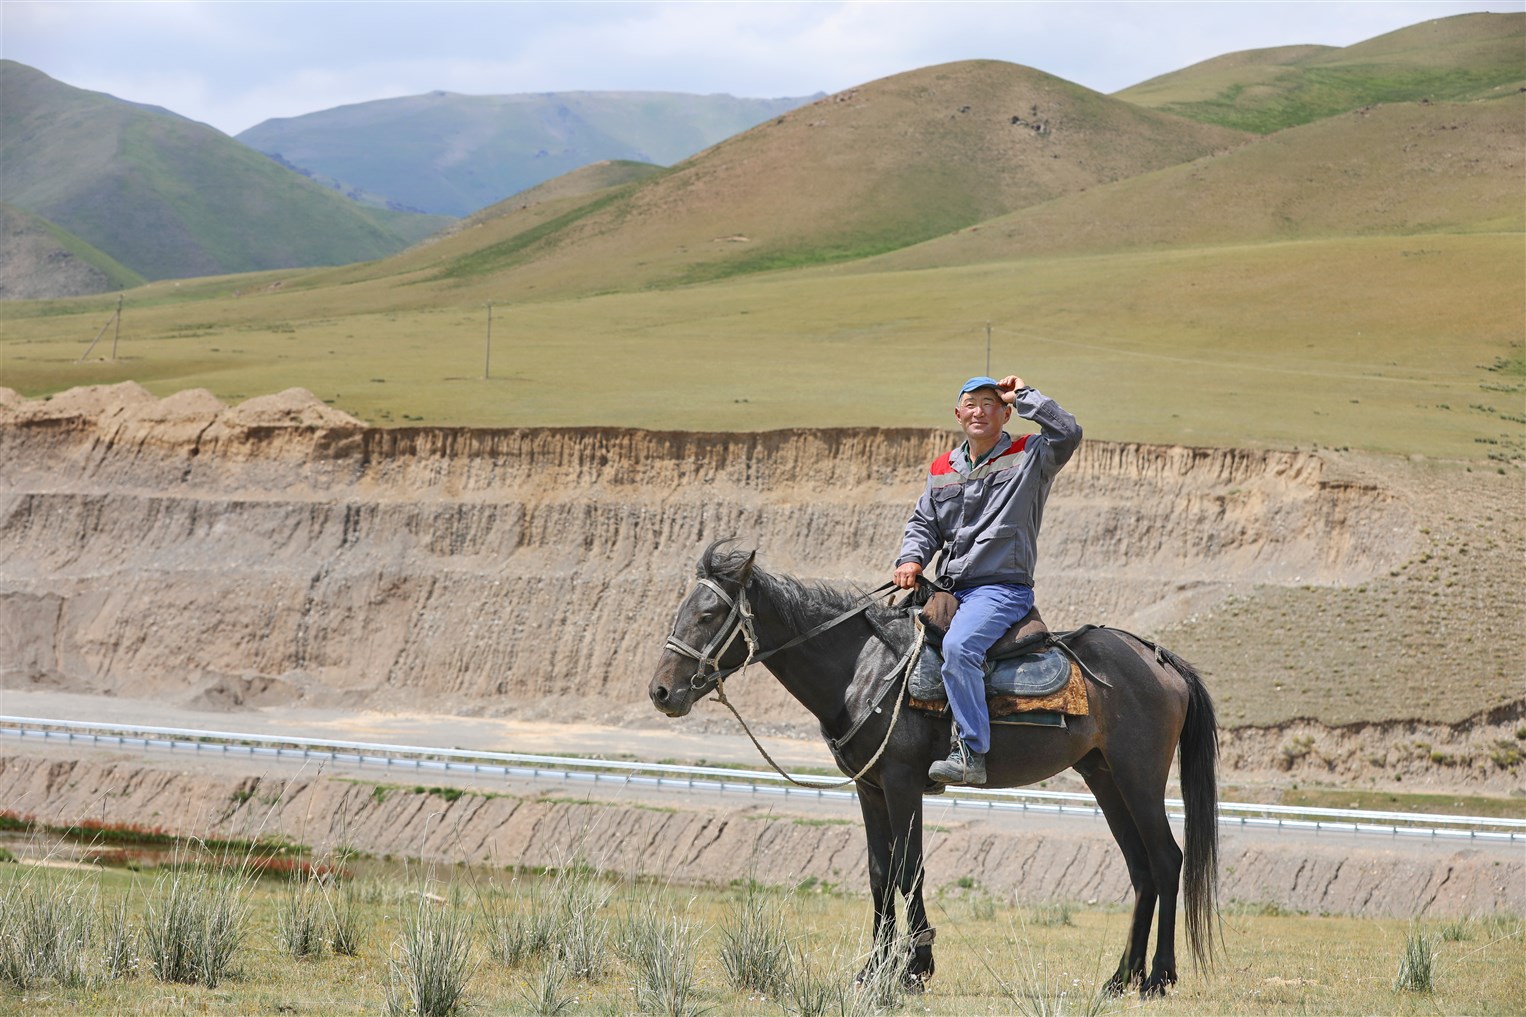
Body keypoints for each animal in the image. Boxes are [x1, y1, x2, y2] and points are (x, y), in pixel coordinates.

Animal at [648, 542, 1219, 998]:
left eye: (707, 615)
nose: (661, 692)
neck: (864, 669)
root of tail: (1160, 660)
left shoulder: (902, 782)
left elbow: (909, 868)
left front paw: (914, 968)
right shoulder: (870, 788)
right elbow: (880, 872)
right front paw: (873, 970)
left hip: (1138, 777)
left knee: (1166, 859)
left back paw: (1158, 978)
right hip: (1103, 778)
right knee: (1141, 869)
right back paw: (1121, 977)